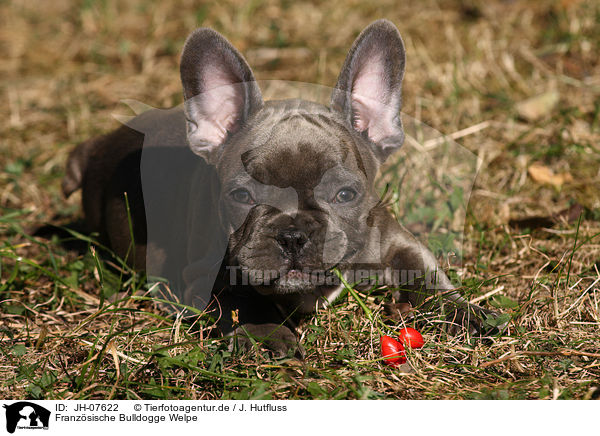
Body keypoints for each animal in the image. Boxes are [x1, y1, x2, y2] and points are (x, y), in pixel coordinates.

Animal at [63, 19, 500, 358]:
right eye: (242, 196)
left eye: (345, 195)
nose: (292, 234)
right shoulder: (203, 271)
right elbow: (240, 298)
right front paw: (267, 335)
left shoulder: (396, 241)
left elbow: (425, 274)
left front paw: (465, 314)